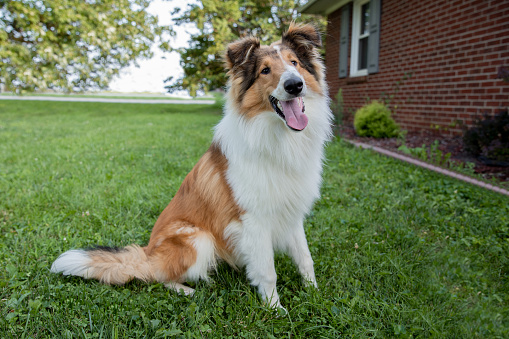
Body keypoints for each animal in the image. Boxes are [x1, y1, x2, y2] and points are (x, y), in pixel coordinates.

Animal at [50, 23, 334, 310]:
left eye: (294, 62)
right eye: (265, 70)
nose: (294, 85)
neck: (278, 137)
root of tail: (148, 252)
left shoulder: (292, 212)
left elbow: (305, 258)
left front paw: (314, 292)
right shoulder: (254, 219)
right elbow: (267, 271)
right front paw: (275, 309)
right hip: (199, 238)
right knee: (157, 275)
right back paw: (188, 291)